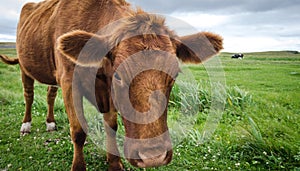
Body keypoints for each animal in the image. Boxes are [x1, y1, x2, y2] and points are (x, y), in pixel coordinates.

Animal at [0, 0, 223, 170]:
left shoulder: (106, 92)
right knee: (28, 95)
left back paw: (50, 122)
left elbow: (112, 126)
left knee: (49, 94)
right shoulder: (69, 81)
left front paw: (114, 162)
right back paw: (26, 125)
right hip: (25, 67)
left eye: (174, 74)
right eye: (118, 76)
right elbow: (78, 131)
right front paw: (78, 166)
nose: (153, 157)